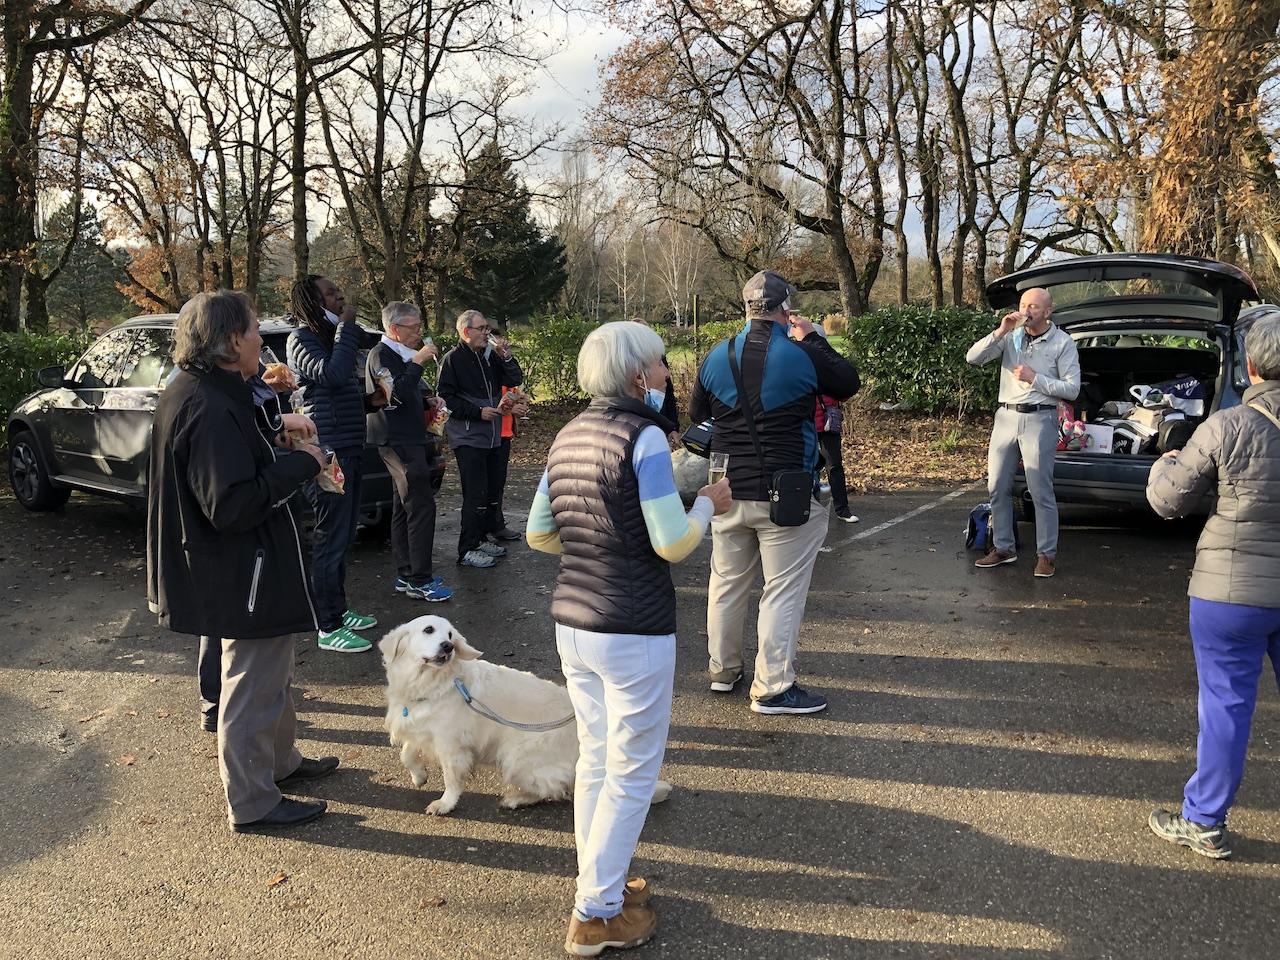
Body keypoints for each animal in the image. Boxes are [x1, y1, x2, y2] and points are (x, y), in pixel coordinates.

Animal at [376, 619, 670, 814]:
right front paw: (419, 776)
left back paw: (515, 799)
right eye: (428, 630)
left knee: (553, 789)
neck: (429, 682)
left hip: (515, 757)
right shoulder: (417, 725)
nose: (448, 646)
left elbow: (452, 780)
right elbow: (406, 753)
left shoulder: (452, 746)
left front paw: (444, 804)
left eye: (449, 634)